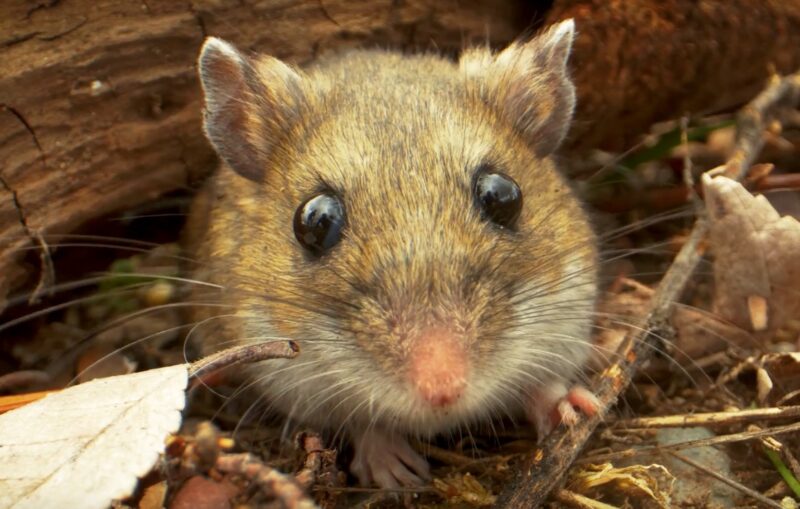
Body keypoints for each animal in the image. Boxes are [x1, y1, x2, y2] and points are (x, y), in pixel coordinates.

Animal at [187, 19, 599, 489]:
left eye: (504, 196)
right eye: (314, 221)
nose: (444, 389)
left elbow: (543, 384)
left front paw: (574, 408)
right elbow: (362, 422)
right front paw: (396, 472)